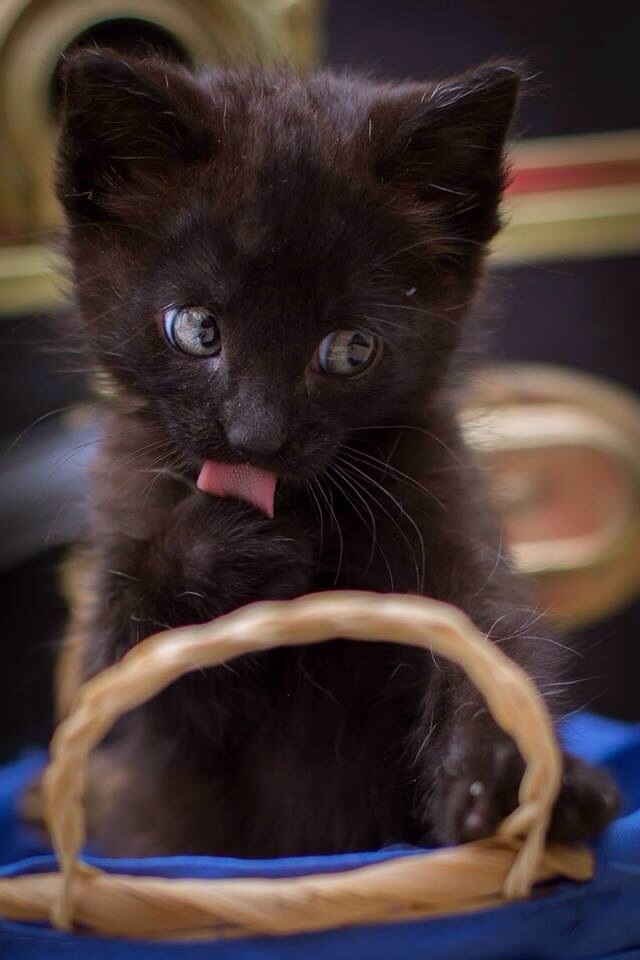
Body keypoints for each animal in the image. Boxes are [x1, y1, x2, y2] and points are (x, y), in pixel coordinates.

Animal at [56, 50, 620, 856]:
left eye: (350, 349)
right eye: (196, 329)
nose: (256, 437)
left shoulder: (450, 530)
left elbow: (489, 650)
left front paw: (509, 780)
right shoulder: (125, 665)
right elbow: (138, 665)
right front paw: (232, 545)